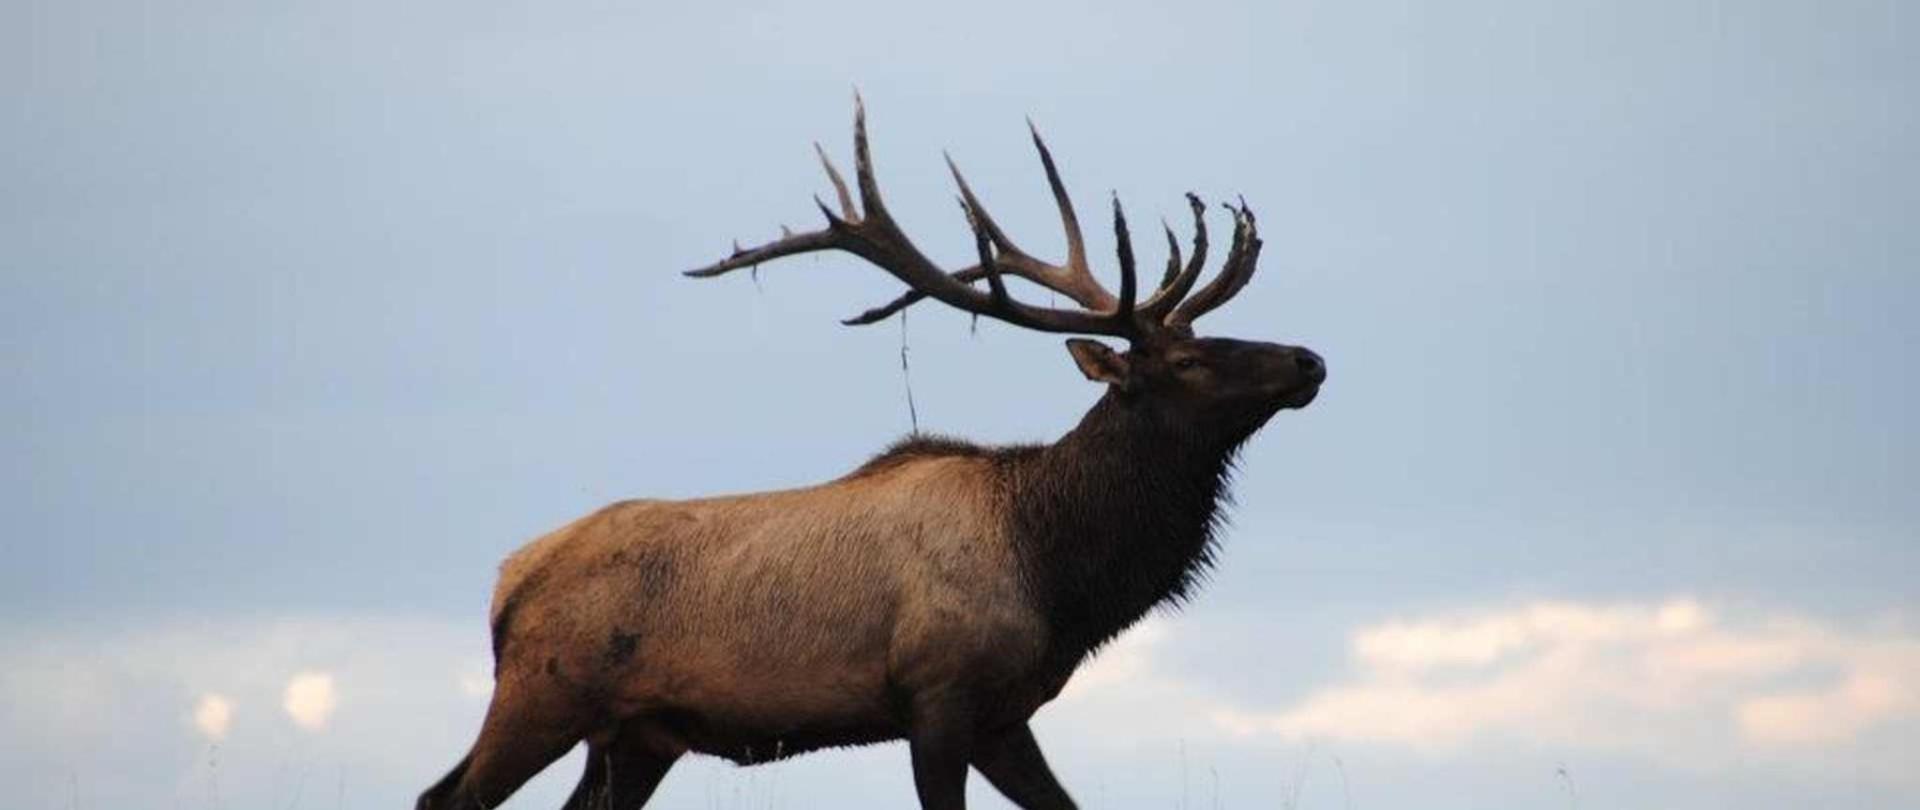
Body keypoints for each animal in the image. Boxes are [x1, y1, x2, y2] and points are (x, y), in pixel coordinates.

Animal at [418, 101, 1320, 810]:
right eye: (1189, 360)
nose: (1308, 359)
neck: (1058, 575)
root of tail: (506, 583)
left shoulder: (1006, 715)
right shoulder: (938, 696)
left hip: (637, 734)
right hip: (542, 691)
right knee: (446, 795)